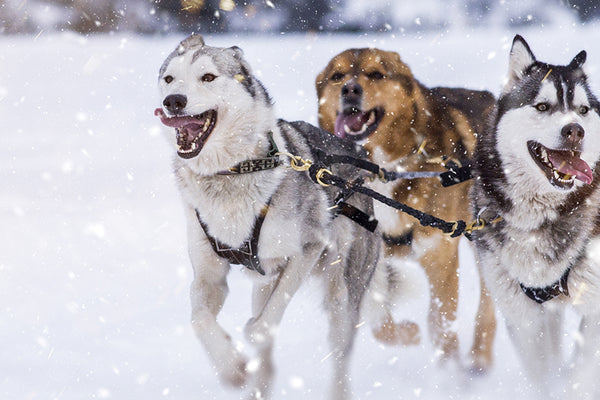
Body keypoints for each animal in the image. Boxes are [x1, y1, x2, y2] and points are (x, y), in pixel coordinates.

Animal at [155, 35, 400, 400]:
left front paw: (251, 338)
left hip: (342, 292)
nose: (173, 101)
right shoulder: (209, 275)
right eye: (170, 78)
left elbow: (264, 323)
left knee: (339, 352)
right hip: (265, 278)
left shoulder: (306, 249)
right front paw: (232, 369)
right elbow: (199, 321)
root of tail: (355, 156)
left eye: (208, 77)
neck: (233, 172)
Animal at [318, 47, 496, 372]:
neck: (384, 170)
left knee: (488, 304)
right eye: (337, 76)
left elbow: (440, 322)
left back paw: (480, 358)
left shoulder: (440, 257)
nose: (350, 89)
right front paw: (407, 334)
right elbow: (380, 322)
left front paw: (449, 372)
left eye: (376, 74)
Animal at [472, 35, 600, 396]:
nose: (575, 131)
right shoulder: (524, 315)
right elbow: (545, 375)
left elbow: (580, 372)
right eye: (542, 107)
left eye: (583, 111)